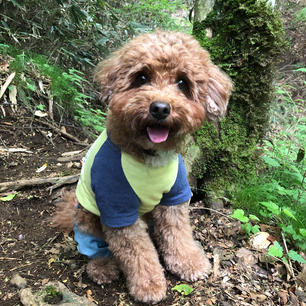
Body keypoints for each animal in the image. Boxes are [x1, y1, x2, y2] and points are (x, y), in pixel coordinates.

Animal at [52, 30, 233, 304]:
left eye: (182, 82)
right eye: (142, 77)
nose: (160, 108)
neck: (149, 156)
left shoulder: (175, 196)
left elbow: (178, 233)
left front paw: (188, 262)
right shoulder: (118, 210)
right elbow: (137, 252)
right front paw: (149, 284)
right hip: (87, 217)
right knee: (95, 248)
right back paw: (103, 266)